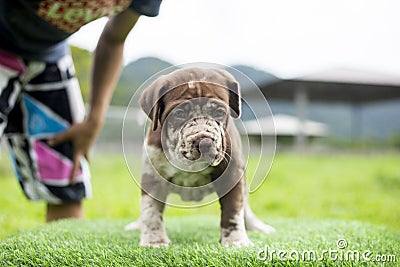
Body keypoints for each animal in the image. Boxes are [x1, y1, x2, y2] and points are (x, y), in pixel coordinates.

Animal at [126, 67, 276, 247]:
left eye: (219, 112)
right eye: (179, 113)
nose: (204, 142)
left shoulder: (232, 174)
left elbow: (233, 210)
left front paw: (236, 240)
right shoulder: (153, 175)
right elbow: (150, 210)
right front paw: (154, 241)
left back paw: (255, 225)